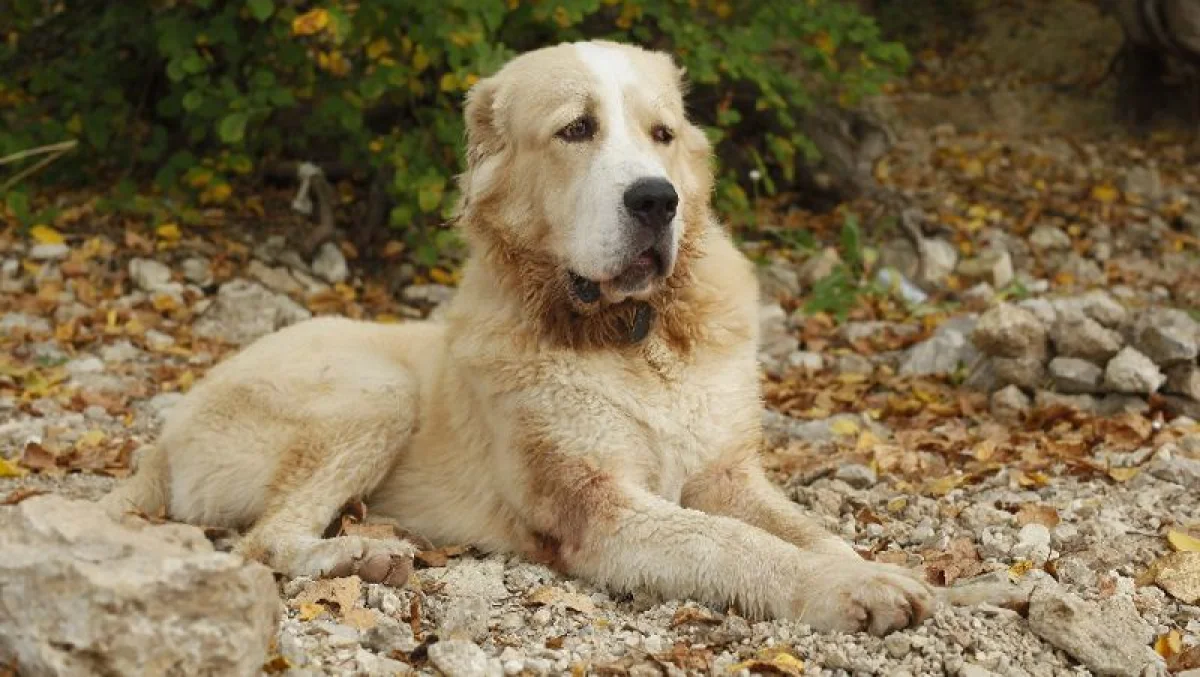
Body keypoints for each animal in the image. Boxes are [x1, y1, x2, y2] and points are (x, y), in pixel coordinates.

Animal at [98, 41, 931, 633]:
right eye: (577, 129)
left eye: (662, 134)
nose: (656, 200)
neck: (635, 336)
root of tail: (162, 440)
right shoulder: (599, 507)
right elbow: (734, 543)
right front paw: (845, 588)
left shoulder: (728, 476)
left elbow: (804, 527)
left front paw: (869, 568)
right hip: (376, 390)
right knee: (263, 541)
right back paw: (360, 553)